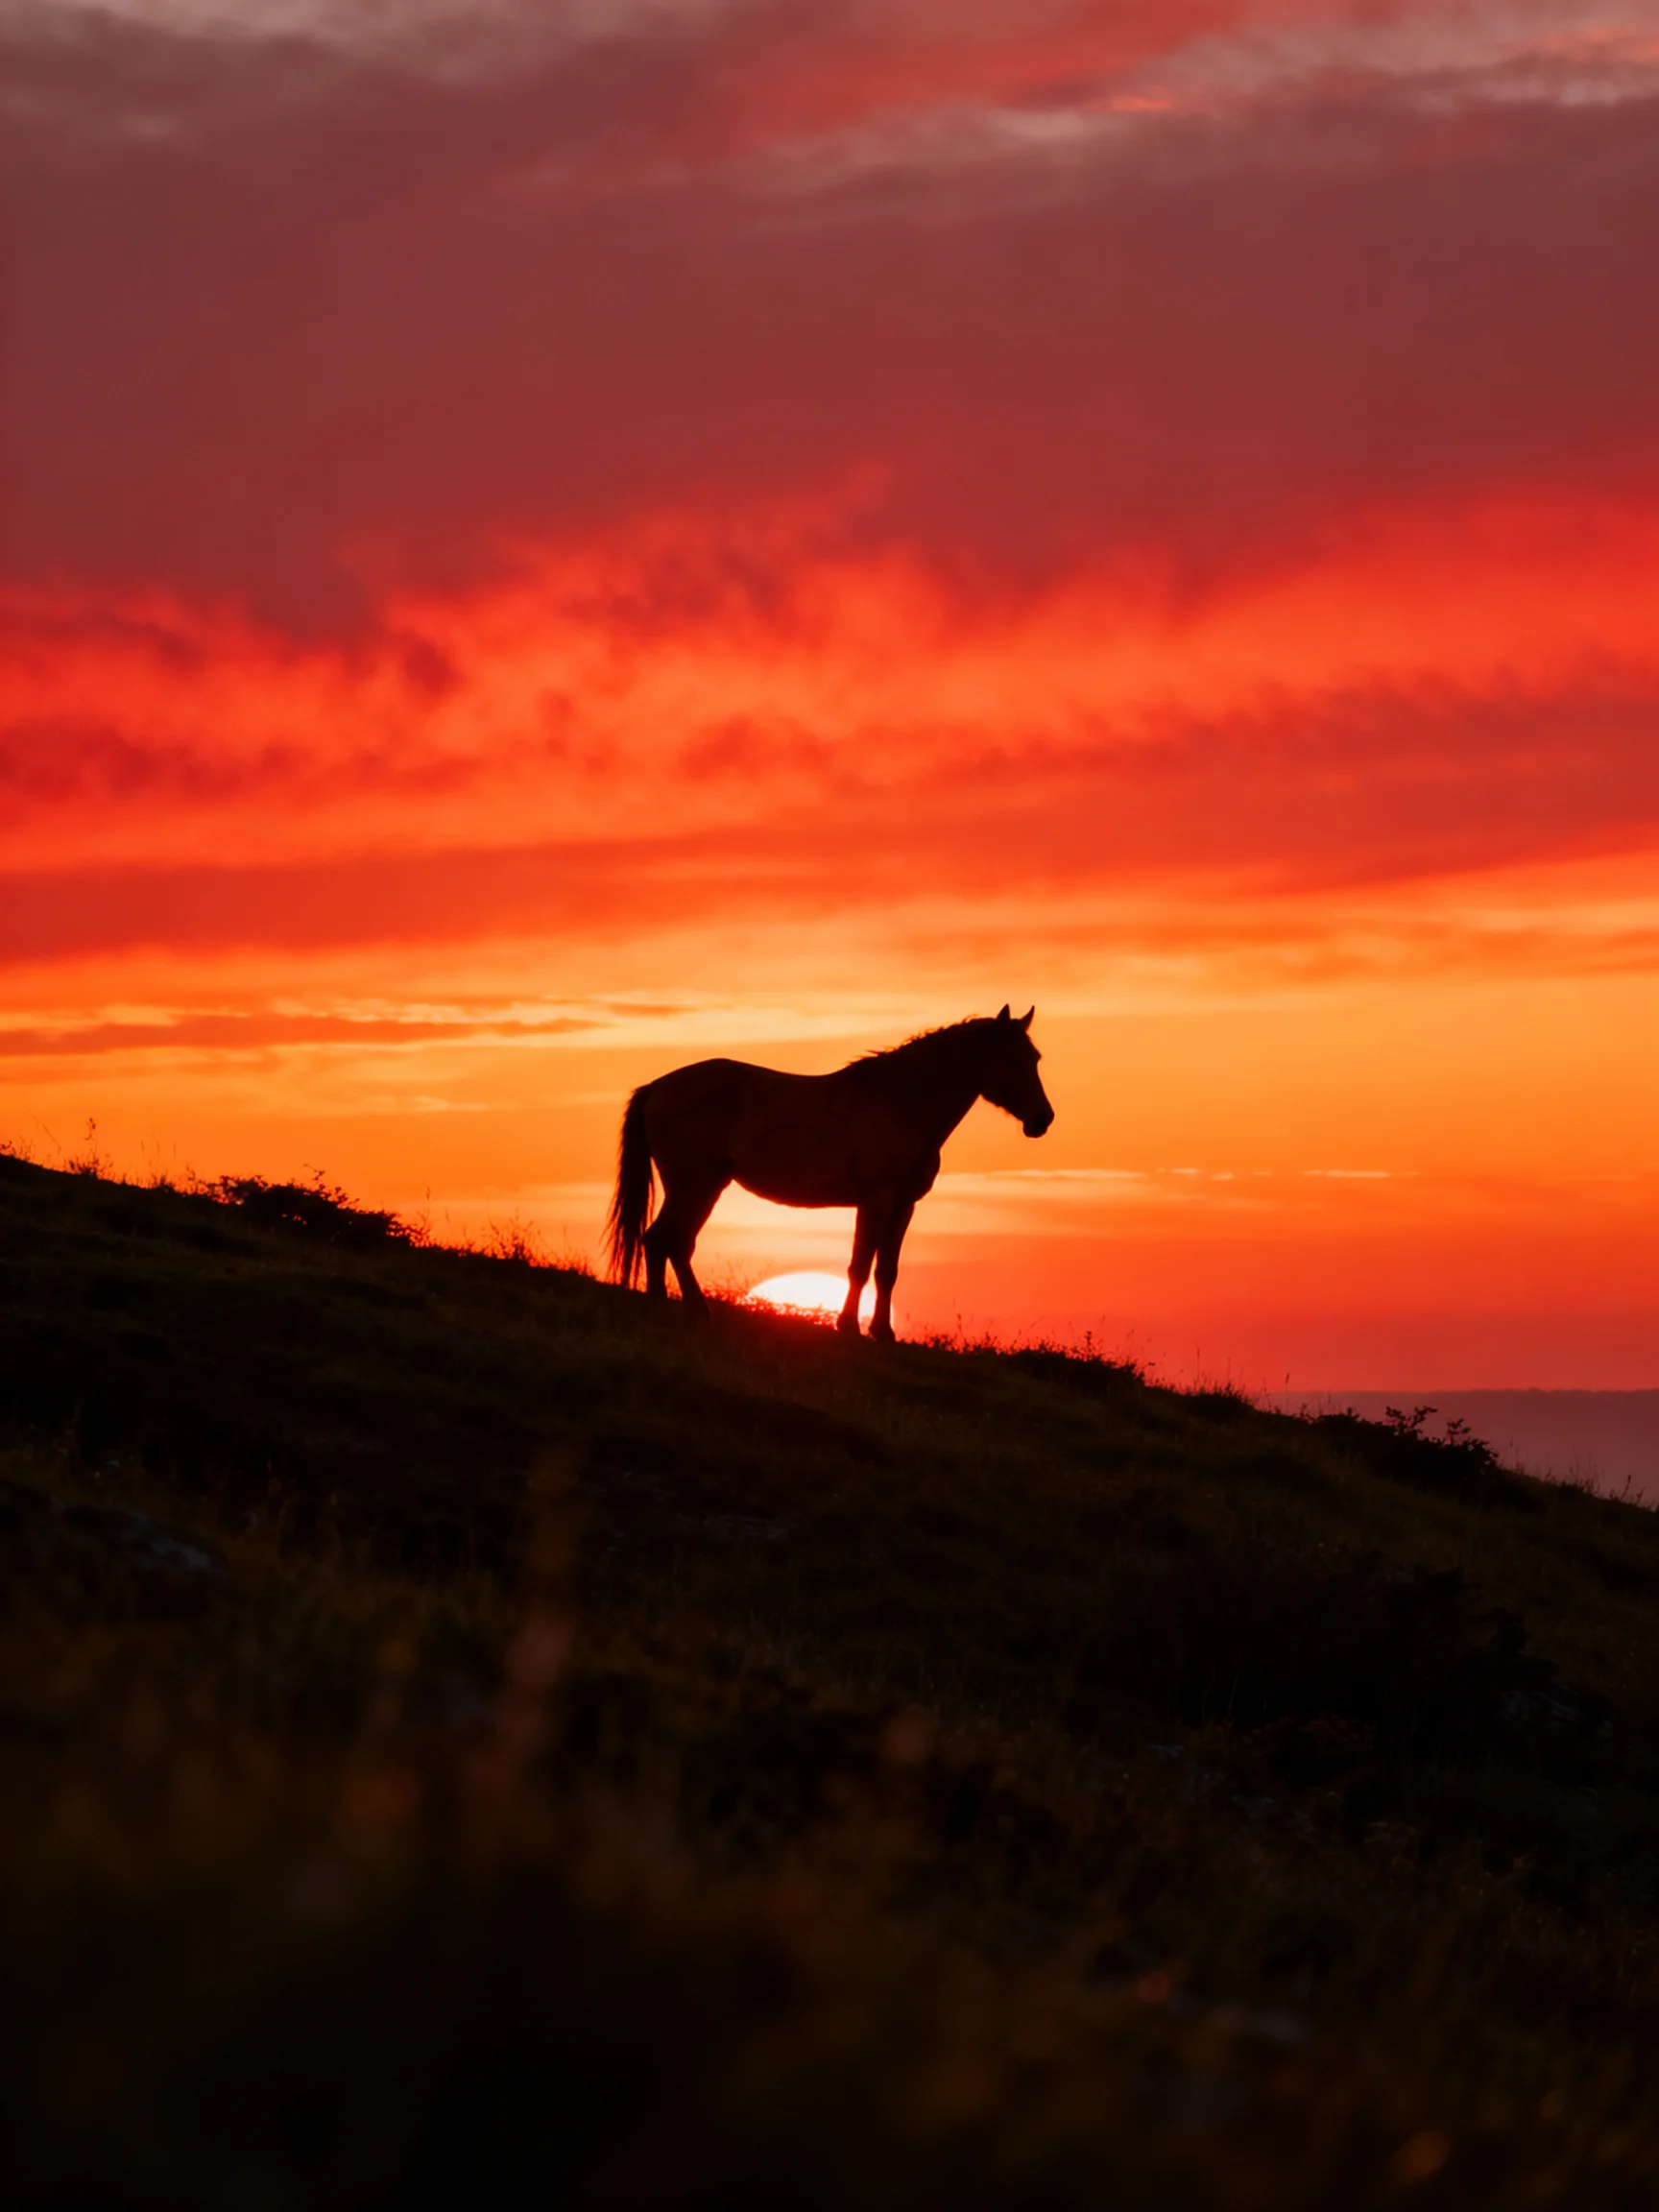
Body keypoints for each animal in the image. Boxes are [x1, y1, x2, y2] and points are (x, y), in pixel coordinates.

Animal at [606, 1006, 1054, 1343]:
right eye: (1012, 1059)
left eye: (1035, 1059)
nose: (1042, 1119)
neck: (899, 1104)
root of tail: (659, 1086)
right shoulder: (876, 1199)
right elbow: (859, 1266)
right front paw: (849, 1328)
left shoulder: (904, 1204)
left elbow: (887, 1271)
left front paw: (883, 1334)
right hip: (690, 1184)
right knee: (661, 1240)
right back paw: (667, 1309)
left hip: (707, 1185)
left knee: (674, 1244)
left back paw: (693, 1312)